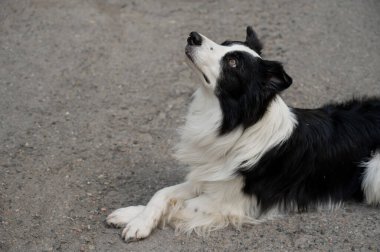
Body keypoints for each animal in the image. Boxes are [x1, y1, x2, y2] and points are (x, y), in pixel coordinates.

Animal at [107, 26, 380, 242]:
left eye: (233, 63)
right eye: (224, 43)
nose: (193, 36)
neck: (237, 125)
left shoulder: (231, 202)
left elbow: (180, 204)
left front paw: (137, 223)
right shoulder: (209, 176)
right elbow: (163, 194)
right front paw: (134, 215)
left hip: (372, 172)